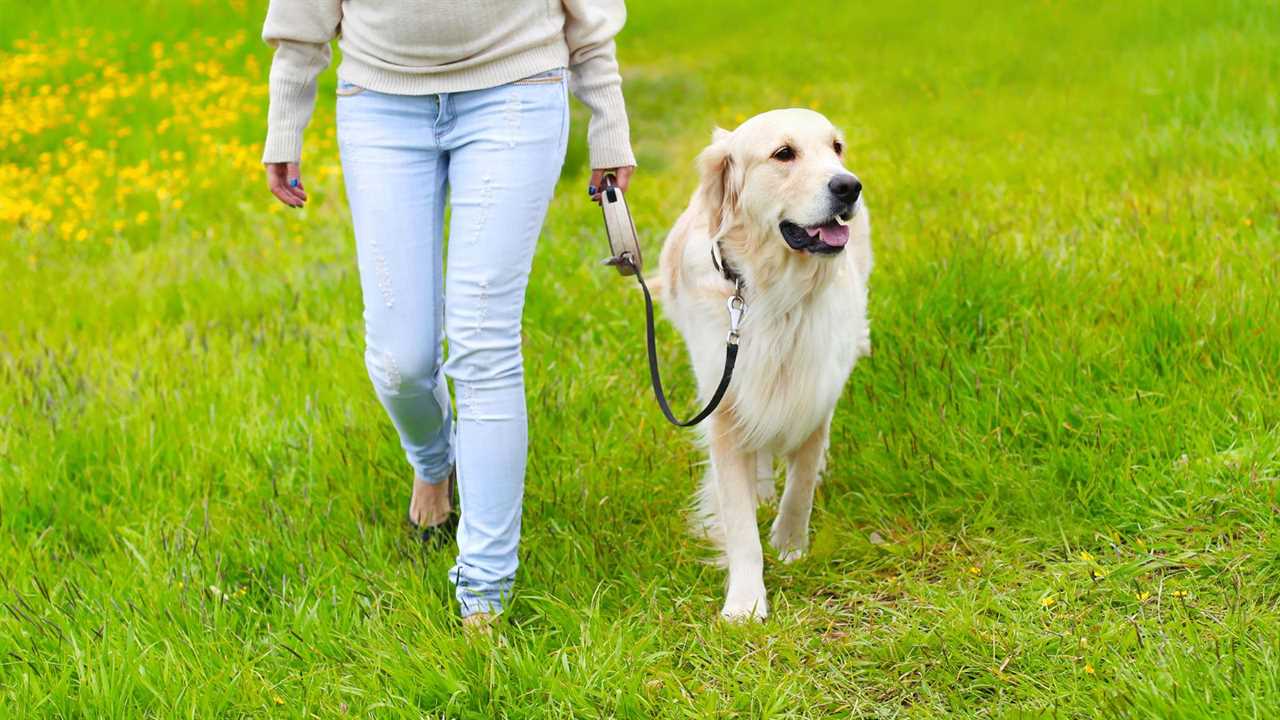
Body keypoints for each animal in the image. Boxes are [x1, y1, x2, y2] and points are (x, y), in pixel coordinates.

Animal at [655, 106, 875, 617]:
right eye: (783, 154)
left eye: (836, 147)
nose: (849, 186)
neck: (777, 295)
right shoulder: (725, 404)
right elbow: (739, 524)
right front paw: (745, 603)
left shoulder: (814, 391)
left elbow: (801, 485)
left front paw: (791, 545)